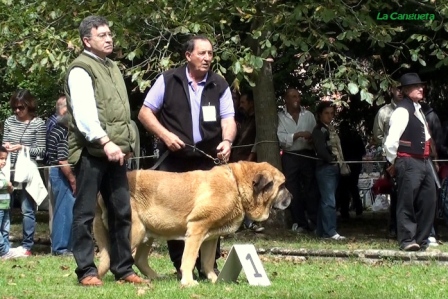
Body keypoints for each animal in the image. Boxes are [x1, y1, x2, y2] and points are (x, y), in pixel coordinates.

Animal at [93, 162, 292, 288]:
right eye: (282, 186)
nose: (291, 197)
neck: (236, 185)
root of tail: (100, 194)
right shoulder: (196, 229)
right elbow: (188, 259)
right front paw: (188, 282)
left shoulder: (210, 237)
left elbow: (208, 261)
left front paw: (214, 279)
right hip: (136, 231)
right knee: (120, 256)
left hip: (147, 232)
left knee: (139, 259)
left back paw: (155, 278)